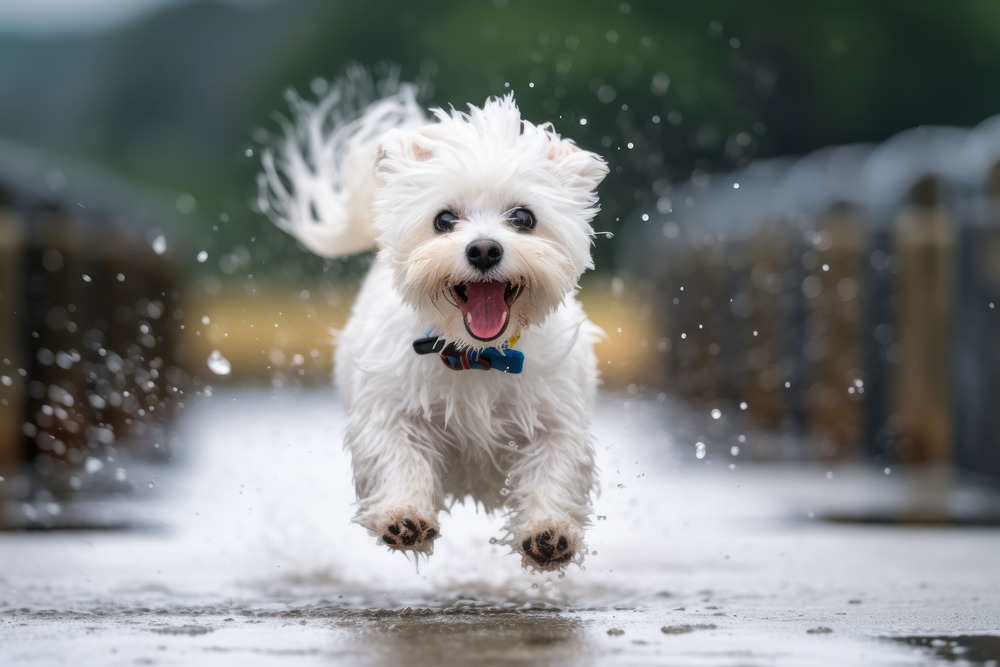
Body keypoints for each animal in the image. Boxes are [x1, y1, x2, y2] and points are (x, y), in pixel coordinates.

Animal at [256, 74, 608, 576]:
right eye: (444, 219)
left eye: (523, 217)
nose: (484, 249)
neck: (477, 356)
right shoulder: (389, 407)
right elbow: (396, 455)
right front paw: (404, 518)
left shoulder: (556, 416)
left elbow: (554, 467)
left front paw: (550, 533)